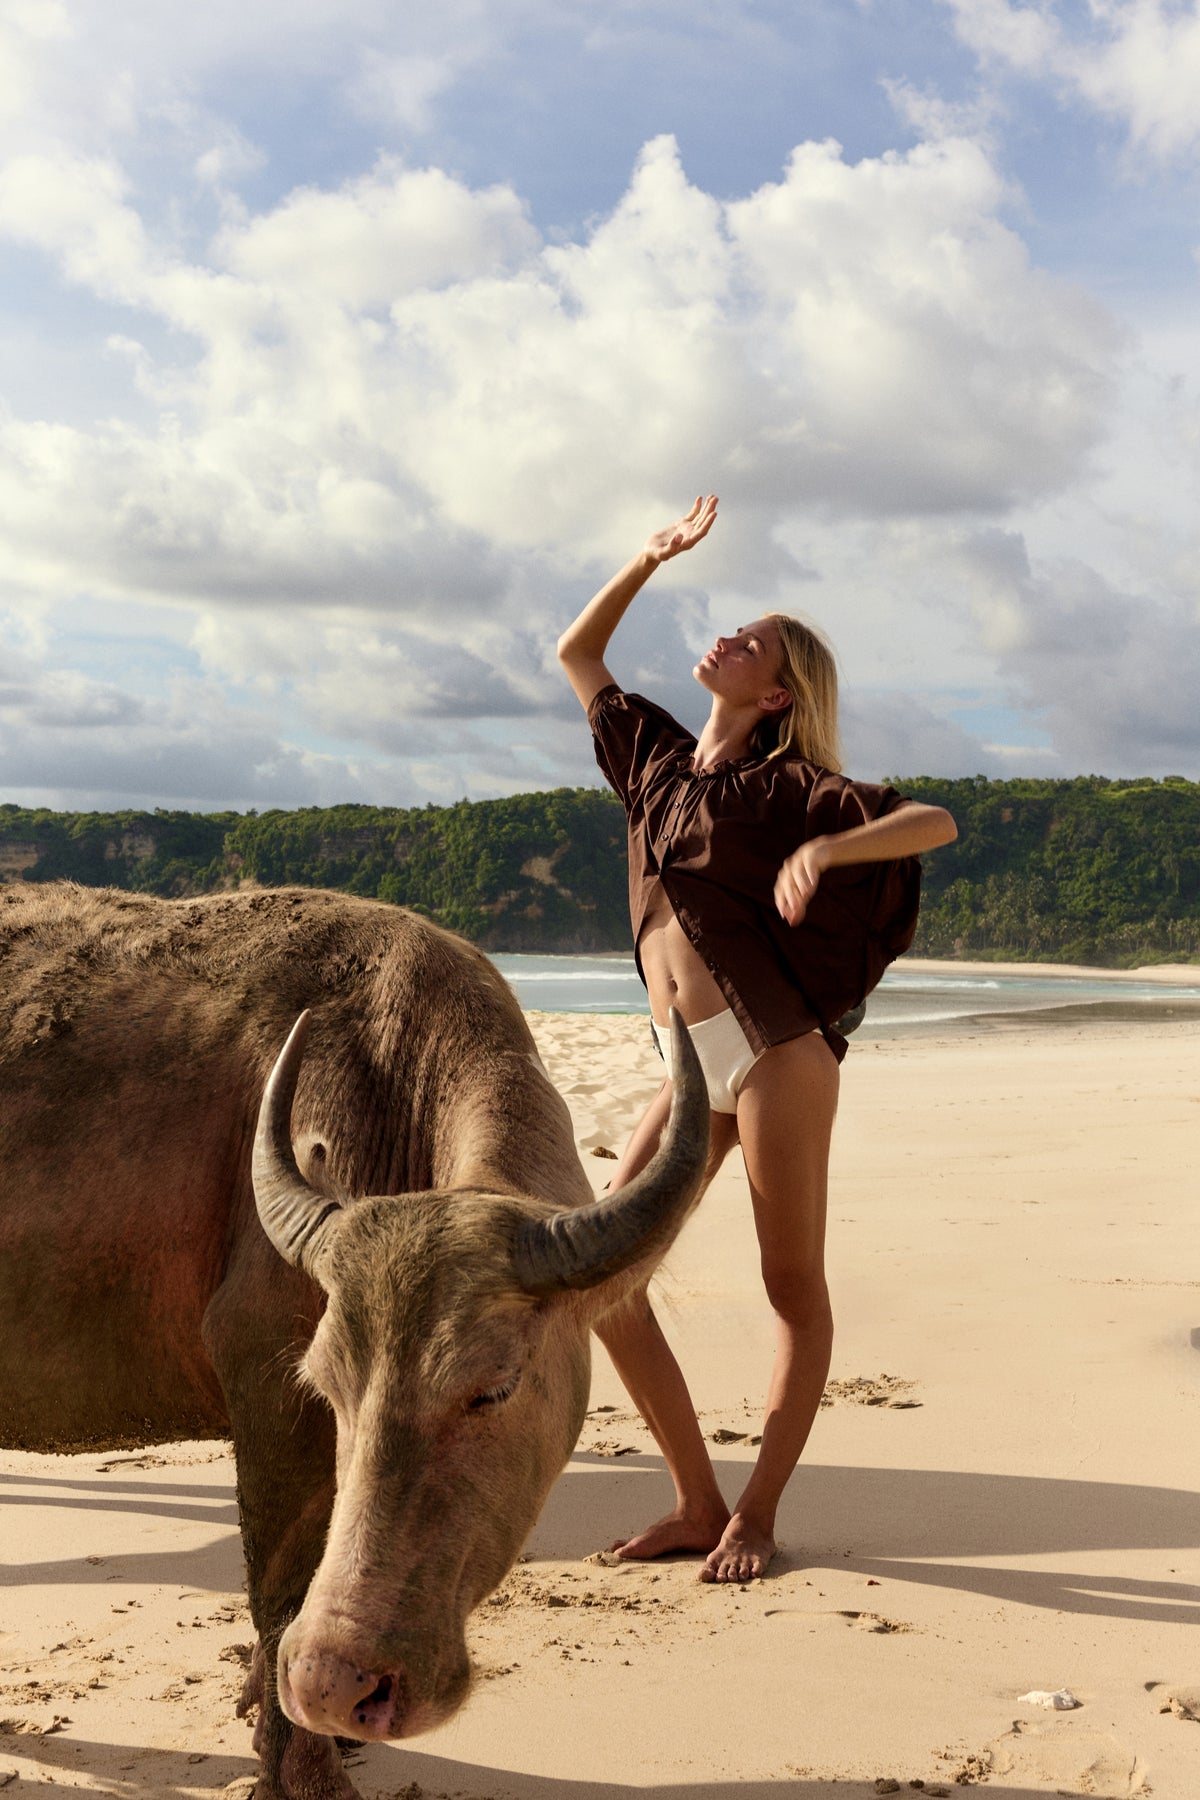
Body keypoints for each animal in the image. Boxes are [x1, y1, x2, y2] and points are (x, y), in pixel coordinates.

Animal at [0, 883, 707, 1799]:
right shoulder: (267, 1385)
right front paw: (301, 1768)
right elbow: (279, 1584)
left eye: (493, 1387)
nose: (334, 1684)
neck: (389, 1076)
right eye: (327, 1385)